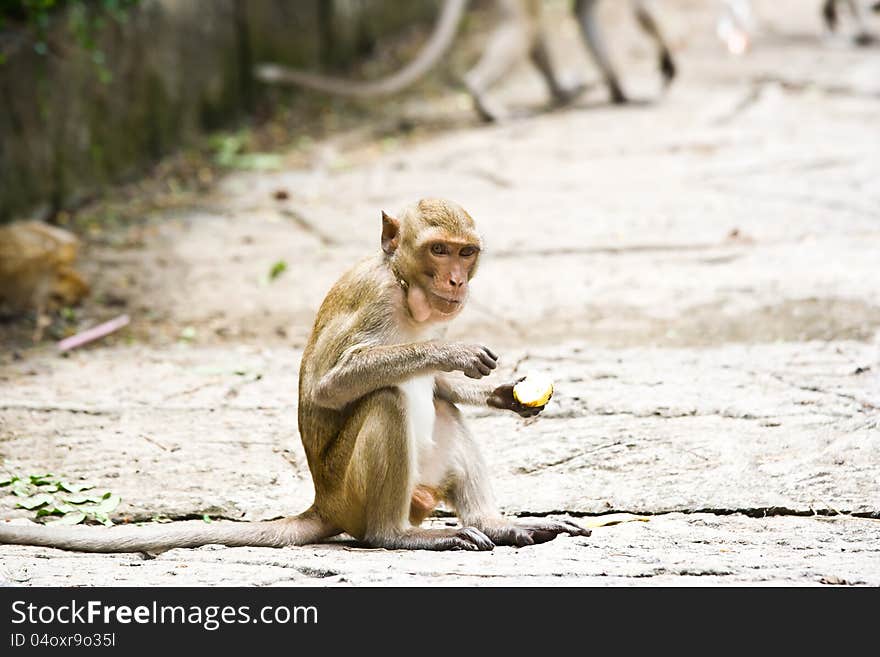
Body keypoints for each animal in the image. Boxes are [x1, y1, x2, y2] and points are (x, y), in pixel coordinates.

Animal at [1, 197, 592, 552]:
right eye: (438, 249)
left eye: (466, 252)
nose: (455, 279)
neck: (405, 289)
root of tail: (323, 502)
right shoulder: (375, 300)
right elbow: (329, 386)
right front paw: (454, 351)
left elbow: (441, 387)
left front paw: (503, 394)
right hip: (352, 493)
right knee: (387, 401)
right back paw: (396, 536)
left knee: (438, 407)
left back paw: (496, 524)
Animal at [253, 0, 672, 121]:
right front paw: (667, 64)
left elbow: (584, 13)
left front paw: (619, 91)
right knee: (524, 26)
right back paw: (487, 102)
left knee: (531, 29)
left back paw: (563, 91)